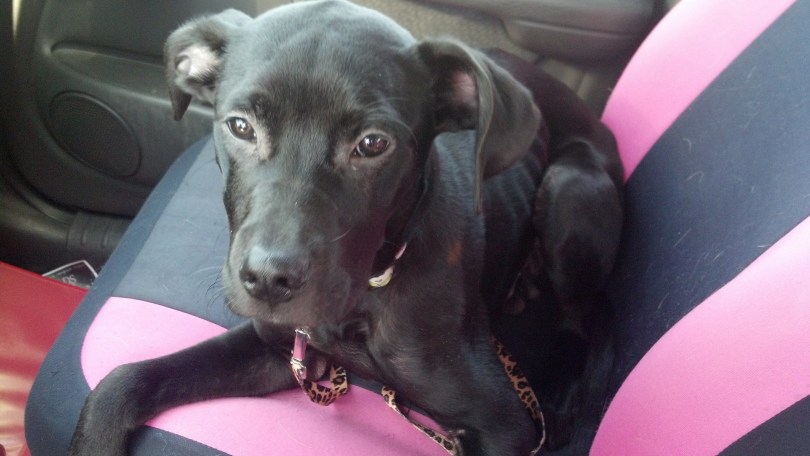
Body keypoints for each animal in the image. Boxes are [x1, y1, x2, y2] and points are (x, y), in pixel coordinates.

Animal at [69, 1, 623, 454]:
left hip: (568, 188)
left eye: (373, 144)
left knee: (586, 315)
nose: (269, 281)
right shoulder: (280, 349)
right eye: (240, 126)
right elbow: (122, 381)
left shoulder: (503, 425)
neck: (368, 293)